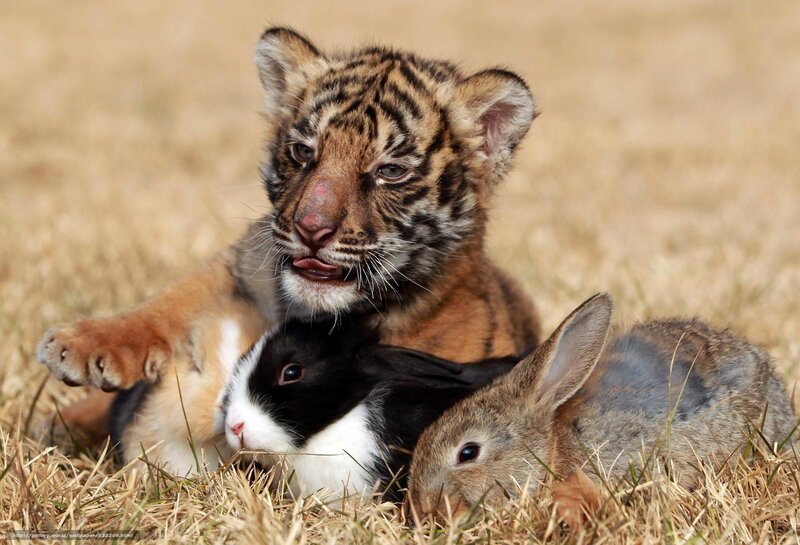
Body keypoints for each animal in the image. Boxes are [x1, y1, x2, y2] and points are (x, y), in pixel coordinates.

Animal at [36, 27, 542, 452]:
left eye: (390, 171)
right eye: (303, 152)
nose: (311, 228)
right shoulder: (242, 266)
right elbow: (174, 301)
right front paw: (82, 343)